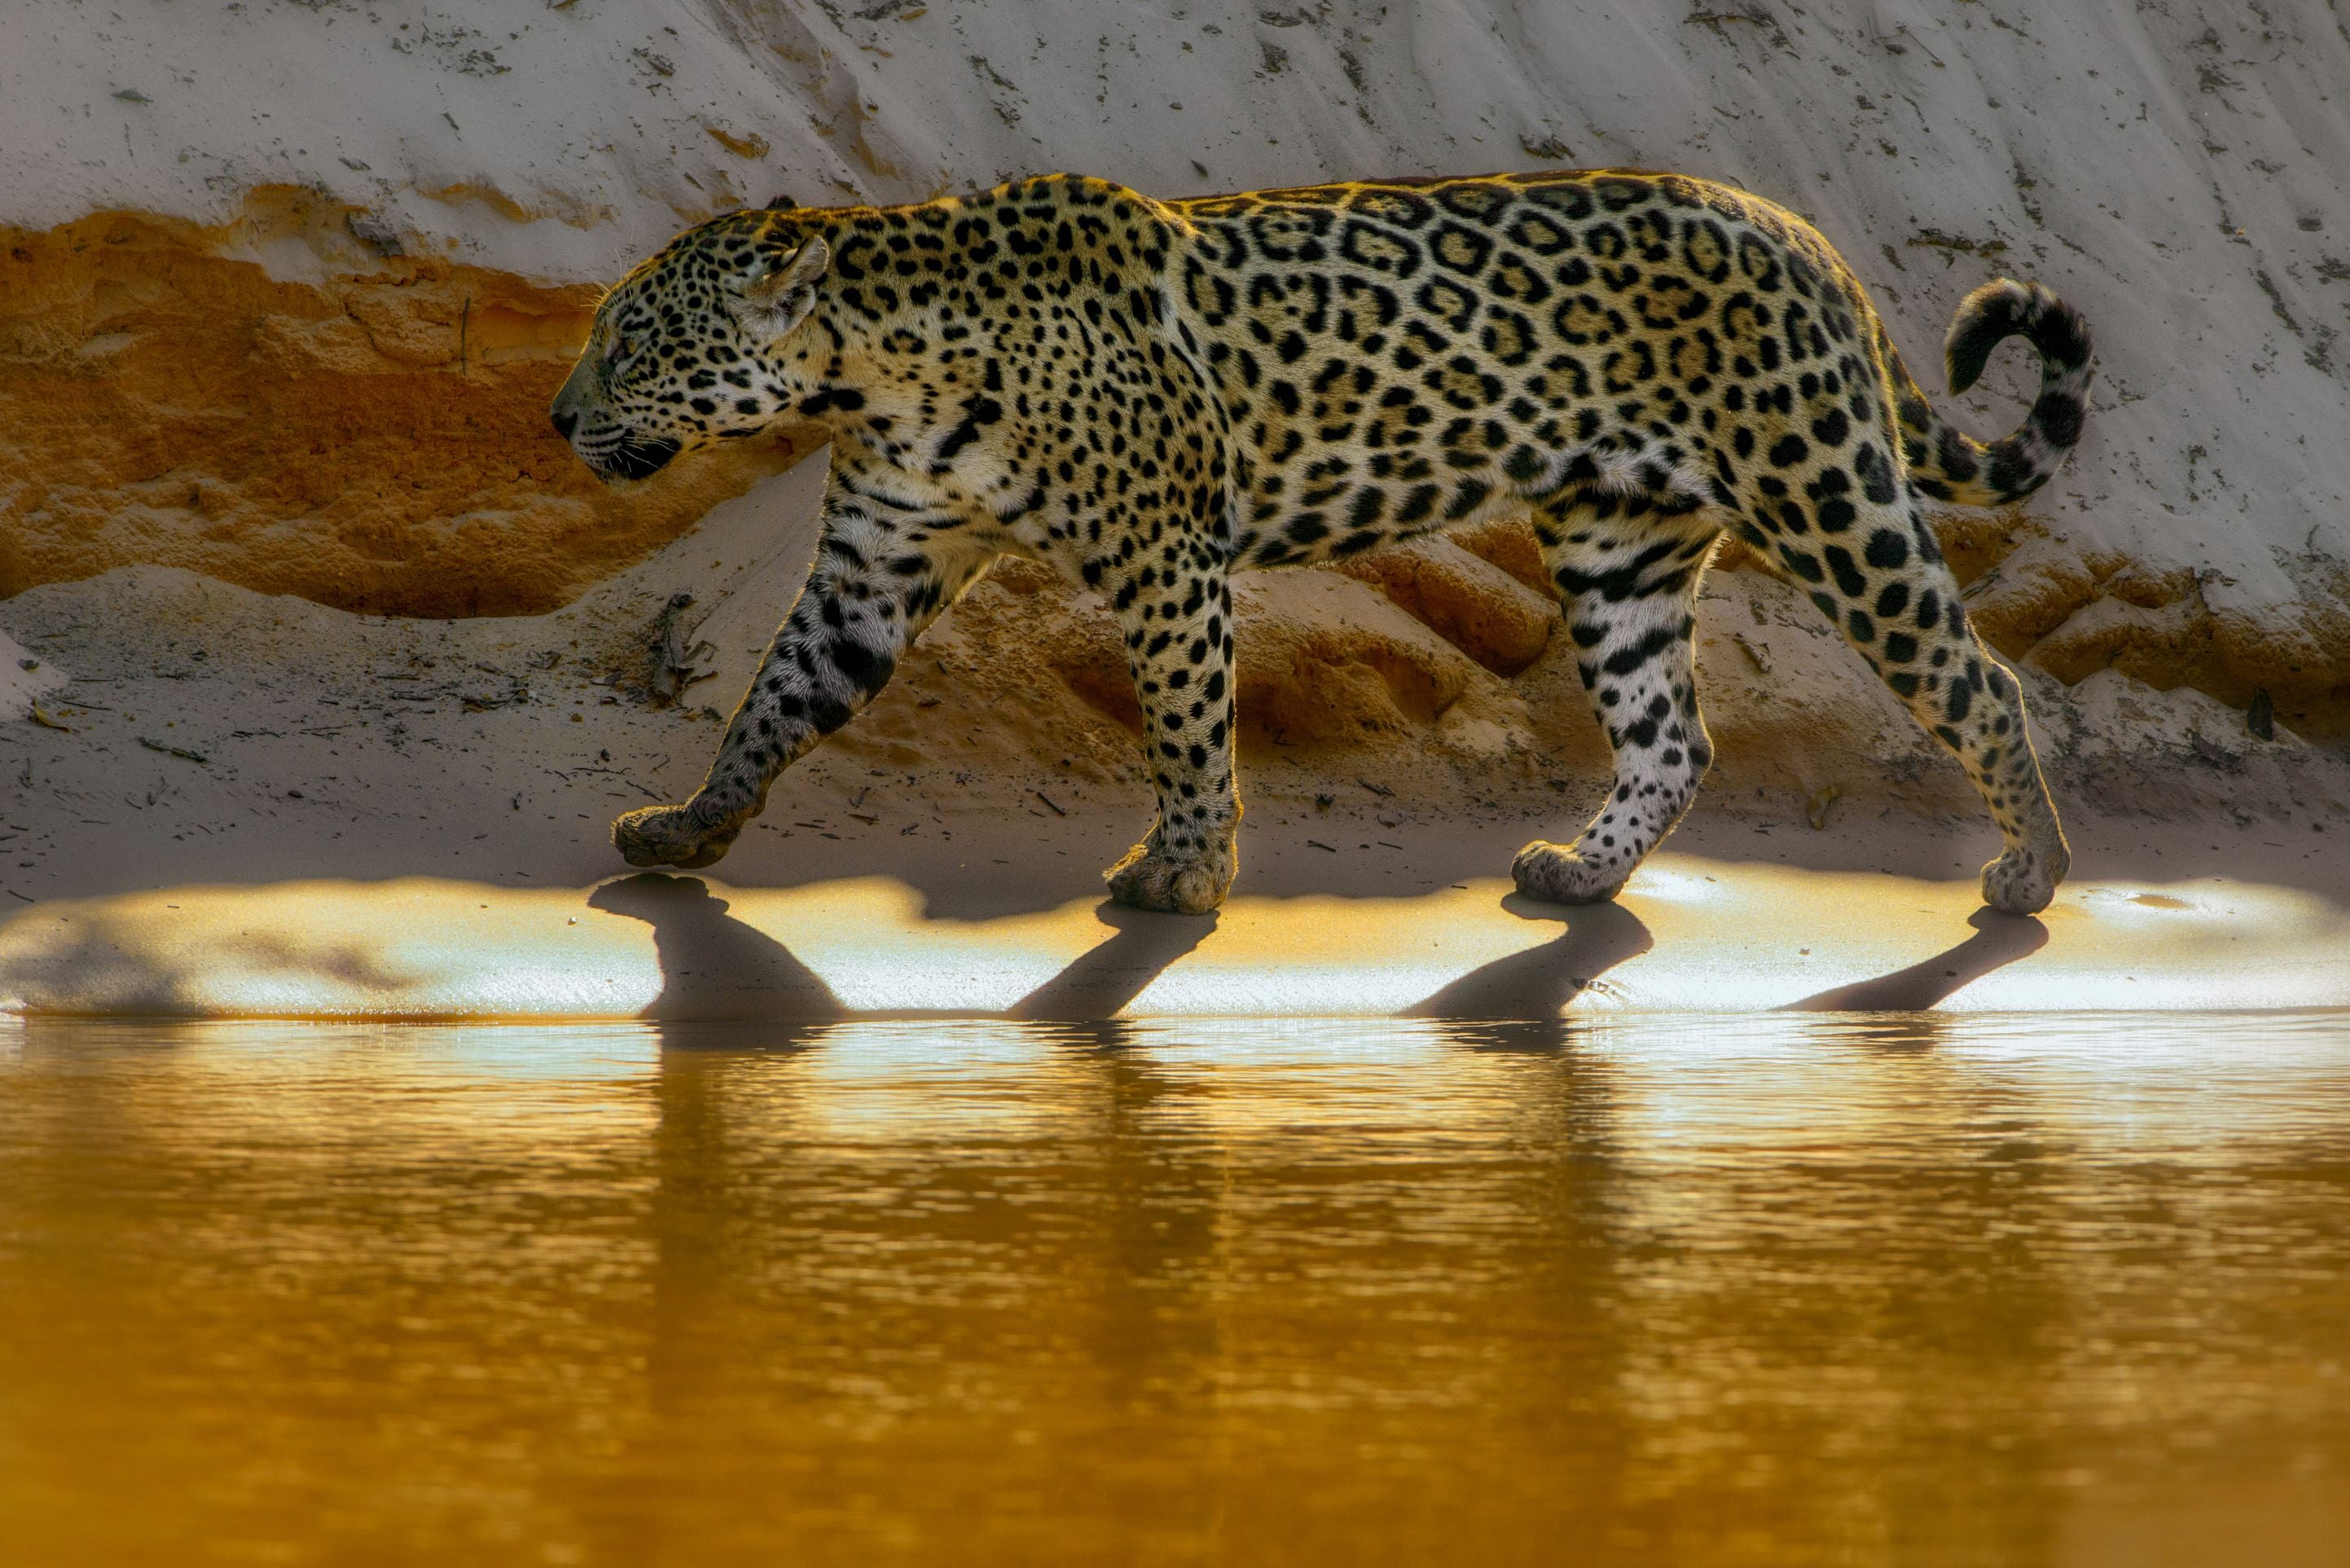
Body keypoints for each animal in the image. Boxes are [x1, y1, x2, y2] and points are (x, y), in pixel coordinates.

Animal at [549, 169, 2093, 918]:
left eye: (629, 340)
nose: (559, 418)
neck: (875, 366)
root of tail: (1802, 232)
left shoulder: (1165, 554)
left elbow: (1188, 726)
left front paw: (1181, 878)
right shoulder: (876, 559)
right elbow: (771, 701)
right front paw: (688, 829)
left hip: (1824, 491)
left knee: (1978, 681)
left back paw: (2030, 876)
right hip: (1619, 545)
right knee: (1673, 735)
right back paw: (1578, 875)